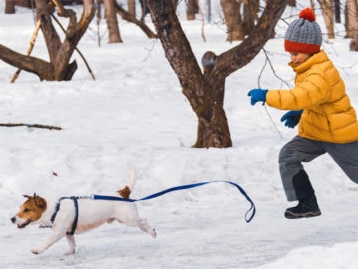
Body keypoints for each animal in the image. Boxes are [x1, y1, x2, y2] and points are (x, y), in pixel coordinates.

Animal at [10, 165, 155, 253]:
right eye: (20, 208)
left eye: (27, 210)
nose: (12, 219)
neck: (54, 210)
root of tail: (122, 193)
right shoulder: (68, 233)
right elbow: (72, 244)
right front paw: (70, 253)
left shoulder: (59, 232)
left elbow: (47, 241)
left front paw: (37, 249)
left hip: (128, 219)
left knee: (144, 220)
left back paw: (151, 231)